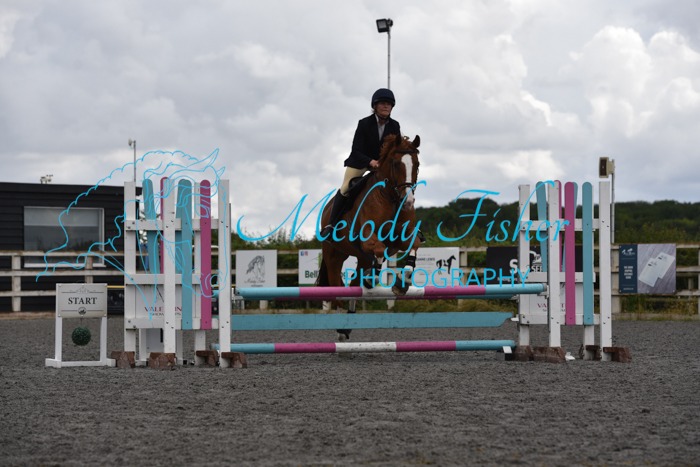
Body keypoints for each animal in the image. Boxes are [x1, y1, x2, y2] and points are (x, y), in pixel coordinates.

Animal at [317, 134, 423, 338]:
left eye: (417, 164)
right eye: (396, 164)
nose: (408, 202)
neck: (391, 198)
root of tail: (327, 208)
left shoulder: (400, 238)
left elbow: (414, 244)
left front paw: (403, 280)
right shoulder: (367, 240)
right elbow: (380, 248)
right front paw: (372, 279)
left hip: (361, 257)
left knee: (353, 284)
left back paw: (348, 325)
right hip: (334, 255)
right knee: (338, 287)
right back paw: (341, 328)